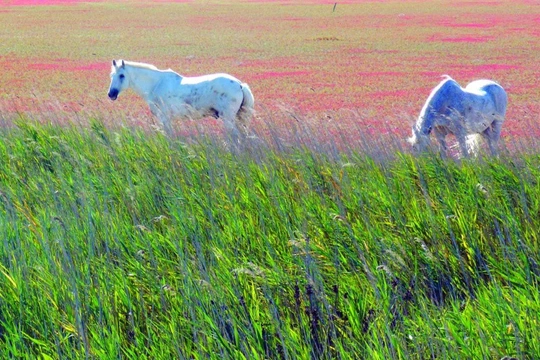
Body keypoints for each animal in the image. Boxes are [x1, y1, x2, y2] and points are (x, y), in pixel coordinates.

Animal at [108, 58, 256, 141]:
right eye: (111, 75)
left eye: (122, 75)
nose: (111, 94)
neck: (156, 84)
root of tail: (240, 84)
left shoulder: (164, 118)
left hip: (228, 118)